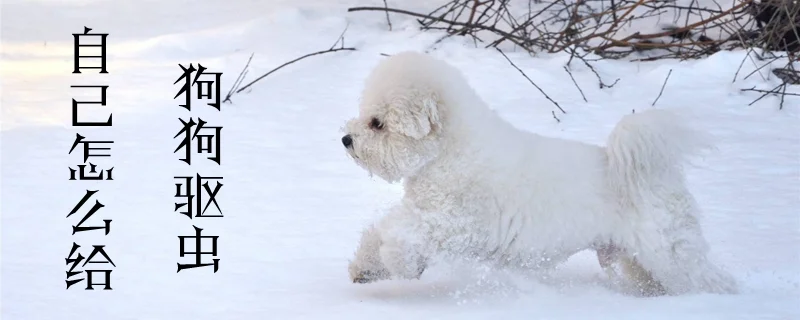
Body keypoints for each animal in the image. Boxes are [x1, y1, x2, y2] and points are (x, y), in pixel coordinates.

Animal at [340, 51, 736, 296]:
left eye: (377, 123)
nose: (346, 139)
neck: (451, 153)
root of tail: (653, 174)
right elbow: (382, 232)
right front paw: (367, 268)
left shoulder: (455, 221)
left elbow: (402, 233)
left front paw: (397, 261)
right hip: (638, 260)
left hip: (669, 253)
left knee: (708, 279)